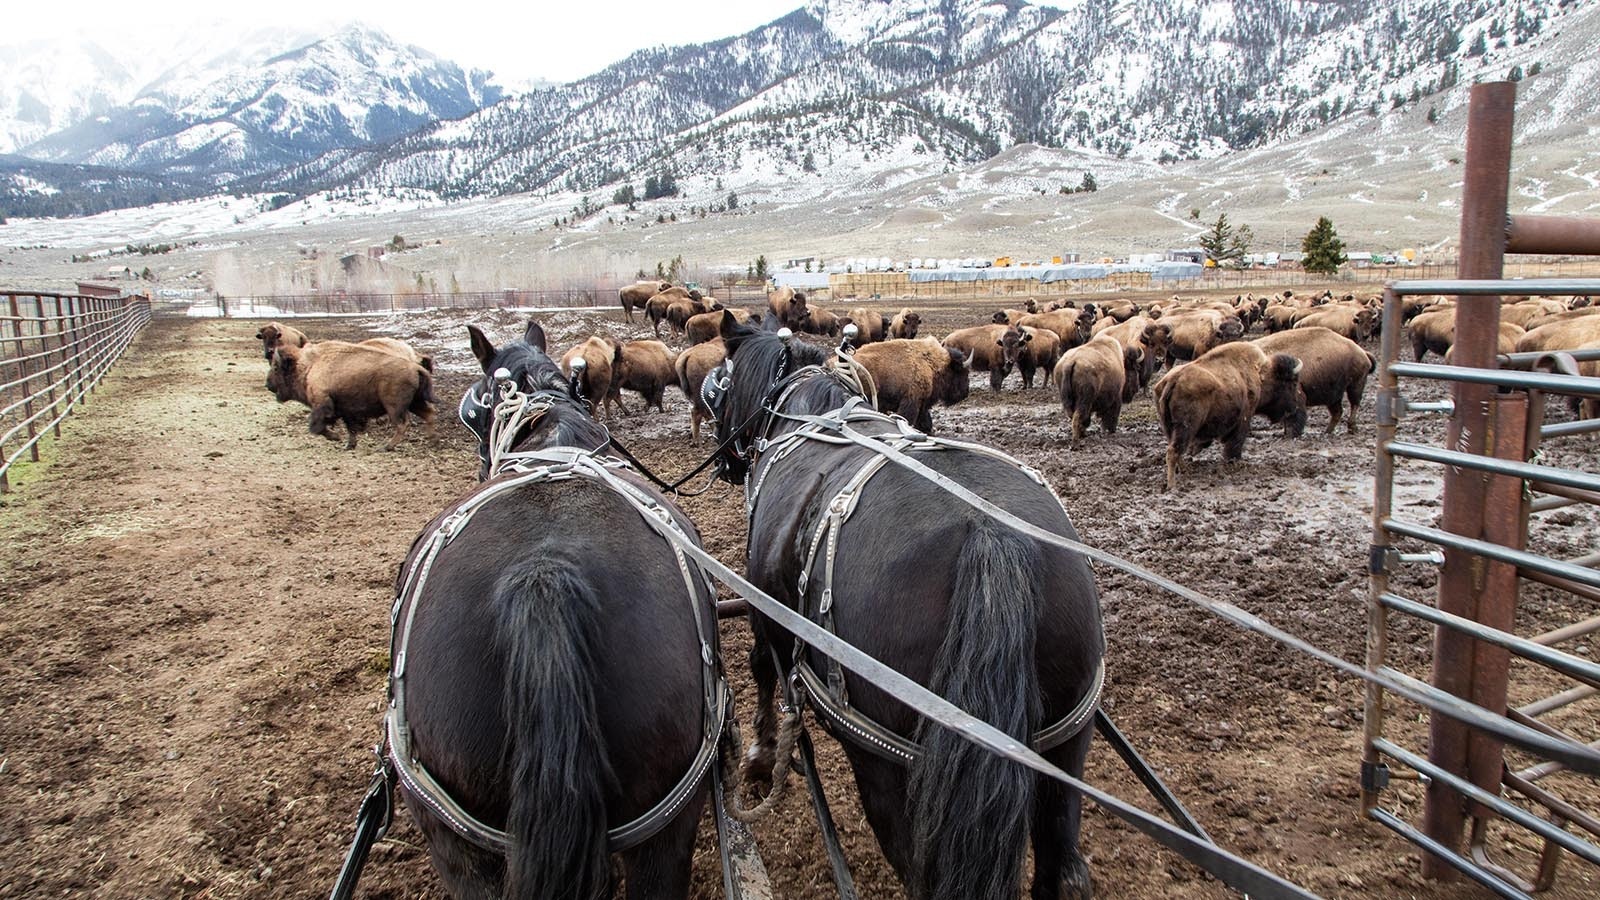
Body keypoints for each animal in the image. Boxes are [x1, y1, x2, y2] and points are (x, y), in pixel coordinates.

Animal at [268, 339, 435, 448]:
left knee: (402, 423)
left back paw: (386, 446)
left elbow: (317, 426)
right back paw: (431, 439)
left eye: (276, 368)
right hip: (414, 402)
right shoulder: (346, 410)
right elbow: (351, 428)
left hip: (394, 406)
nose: (268, 384)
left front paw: (336, 437)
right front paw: (349, 445)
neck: (309, 366)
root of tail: (416, 367)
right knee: (429, 414)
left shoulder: (322, 404)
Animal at [720, 317, 1107, 896]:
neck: (805, 412)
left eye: (722, 381)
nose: (725, 461)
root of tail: (989, 533)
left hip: (887, 768)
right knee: (1062, 868)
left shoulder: (764, 608)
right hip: (1066, 745)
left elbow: (762, 666)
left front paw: (762, 757)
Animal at [1158, 339, 1305, 490]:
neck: (1261, 375)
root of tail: (1173, 380)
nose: (1294, 407)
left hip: (1170, 428)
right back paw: (1172, 485)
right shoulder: (1244, 418)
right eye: (1292, 384)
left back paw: (1185, 470)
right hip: (1186, 427)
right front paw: (1234, 461)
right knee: (1173, 451)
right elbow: (1235, 442)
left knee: (1176, 449)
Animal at [1248, 325, 1376, 435]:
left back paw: (1351, 427)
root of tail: (1362, 352)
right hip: (1333, 395)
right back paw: (1327, 432)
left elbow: (1293, 418)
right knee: (1337, 412)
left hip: (1355, 385)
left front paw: (1290, 434)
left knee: (1354, 403)